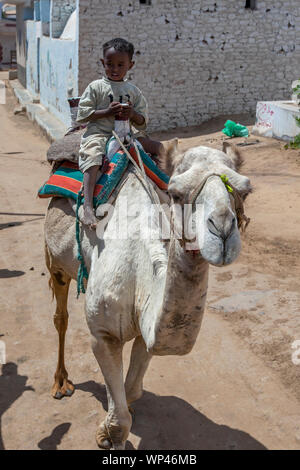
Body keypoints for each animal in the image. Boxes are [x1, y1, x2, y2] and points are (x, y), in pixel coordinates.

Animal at [44, 140, 251, 448]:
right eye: (175, 193)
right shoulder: (102, 335)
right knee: (61, 318)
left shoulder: (148, 330)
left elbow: (130, 391)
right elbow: (120, 421)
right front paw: (109, 434)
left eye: (245, 191)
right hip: (54, 259)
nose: (223, 231)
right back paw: (60, 383)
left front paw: (109, 422)